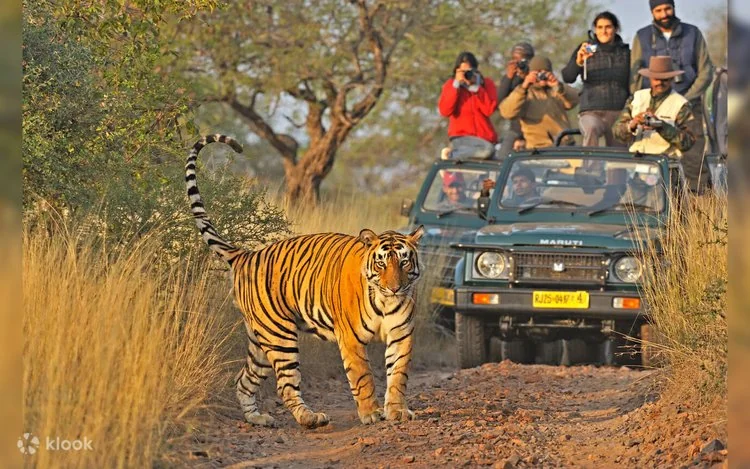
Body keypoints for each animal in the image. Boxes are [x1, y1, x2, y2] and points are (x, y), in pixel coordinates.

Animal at [185, 134, 425, 429]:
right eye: (381, 263)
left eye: (404, 262)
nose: (395, 287)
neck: (384, 300)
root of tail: (246, 254)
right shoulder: (351, 339)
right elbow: (363, 377)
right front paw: (371, 413)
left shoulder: (401, 334)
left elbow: (398, 375)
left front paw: (398, 411)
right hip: (279, 335)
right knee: (286, 385)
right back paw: (310, 418)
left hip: (260, 340)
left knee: (243, 380)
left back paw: (258, 418)